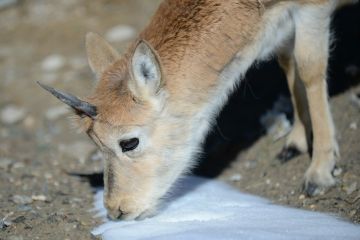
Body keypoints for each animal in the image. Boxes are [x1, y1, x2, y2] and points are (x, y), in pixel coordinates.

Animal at [38, 0, 354, 219]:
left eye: (129, 142)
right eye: (95, 143)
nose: (117, 210)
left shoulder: (313, 8)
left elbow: (309, 67)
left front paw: (319, 173)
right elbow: (288, 62)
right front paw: (295, 142)